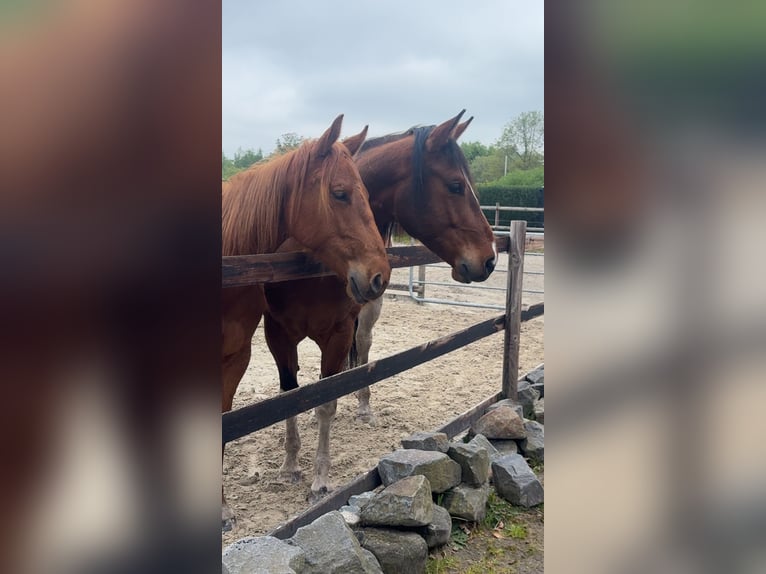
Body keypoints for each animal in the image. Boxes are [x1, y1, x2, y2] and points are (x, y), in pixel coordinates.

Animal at [262, 110, 497, 502]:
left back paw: (363, 407)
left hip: (366, 318)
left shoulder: (339, 332)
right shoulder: (278, 334)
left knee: (362, 355)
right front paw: (290, 465)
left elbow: (328, 400)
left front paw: (320, 481)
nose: (490, 259)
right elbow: (289, 395)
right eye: (455, 186)